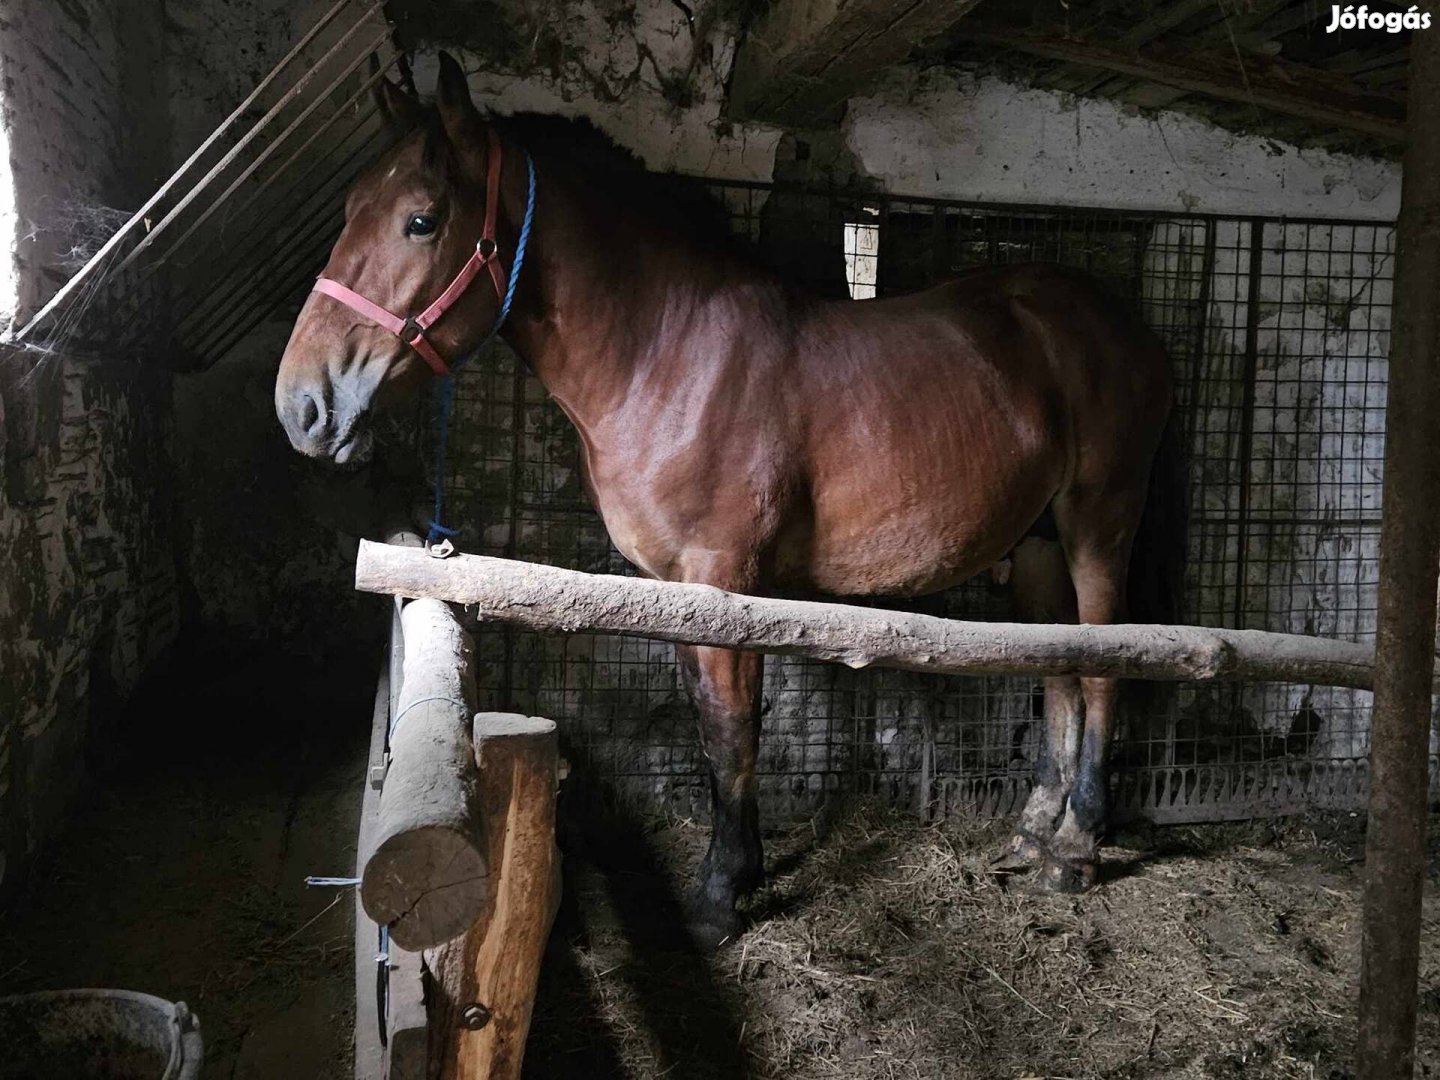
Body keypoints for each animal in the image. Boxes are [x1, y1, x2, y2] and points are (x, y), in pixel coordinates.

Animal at [275, 55, 1175, 944]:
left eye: (421, 221)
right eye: (351, 209)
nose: (302, 406)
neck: (669, 355)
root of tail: (1108, 319)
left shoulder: (724, 578)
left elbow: (731, 733)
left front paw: (721, 892)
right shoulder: (675, 589)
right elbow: (711, 726)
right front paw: (736, 874)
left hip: (1098, 522)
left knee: (1108, 666)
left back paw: (1076, 847)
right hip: (1038, 540)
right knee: (1063, 665)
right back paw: (1034, 831)